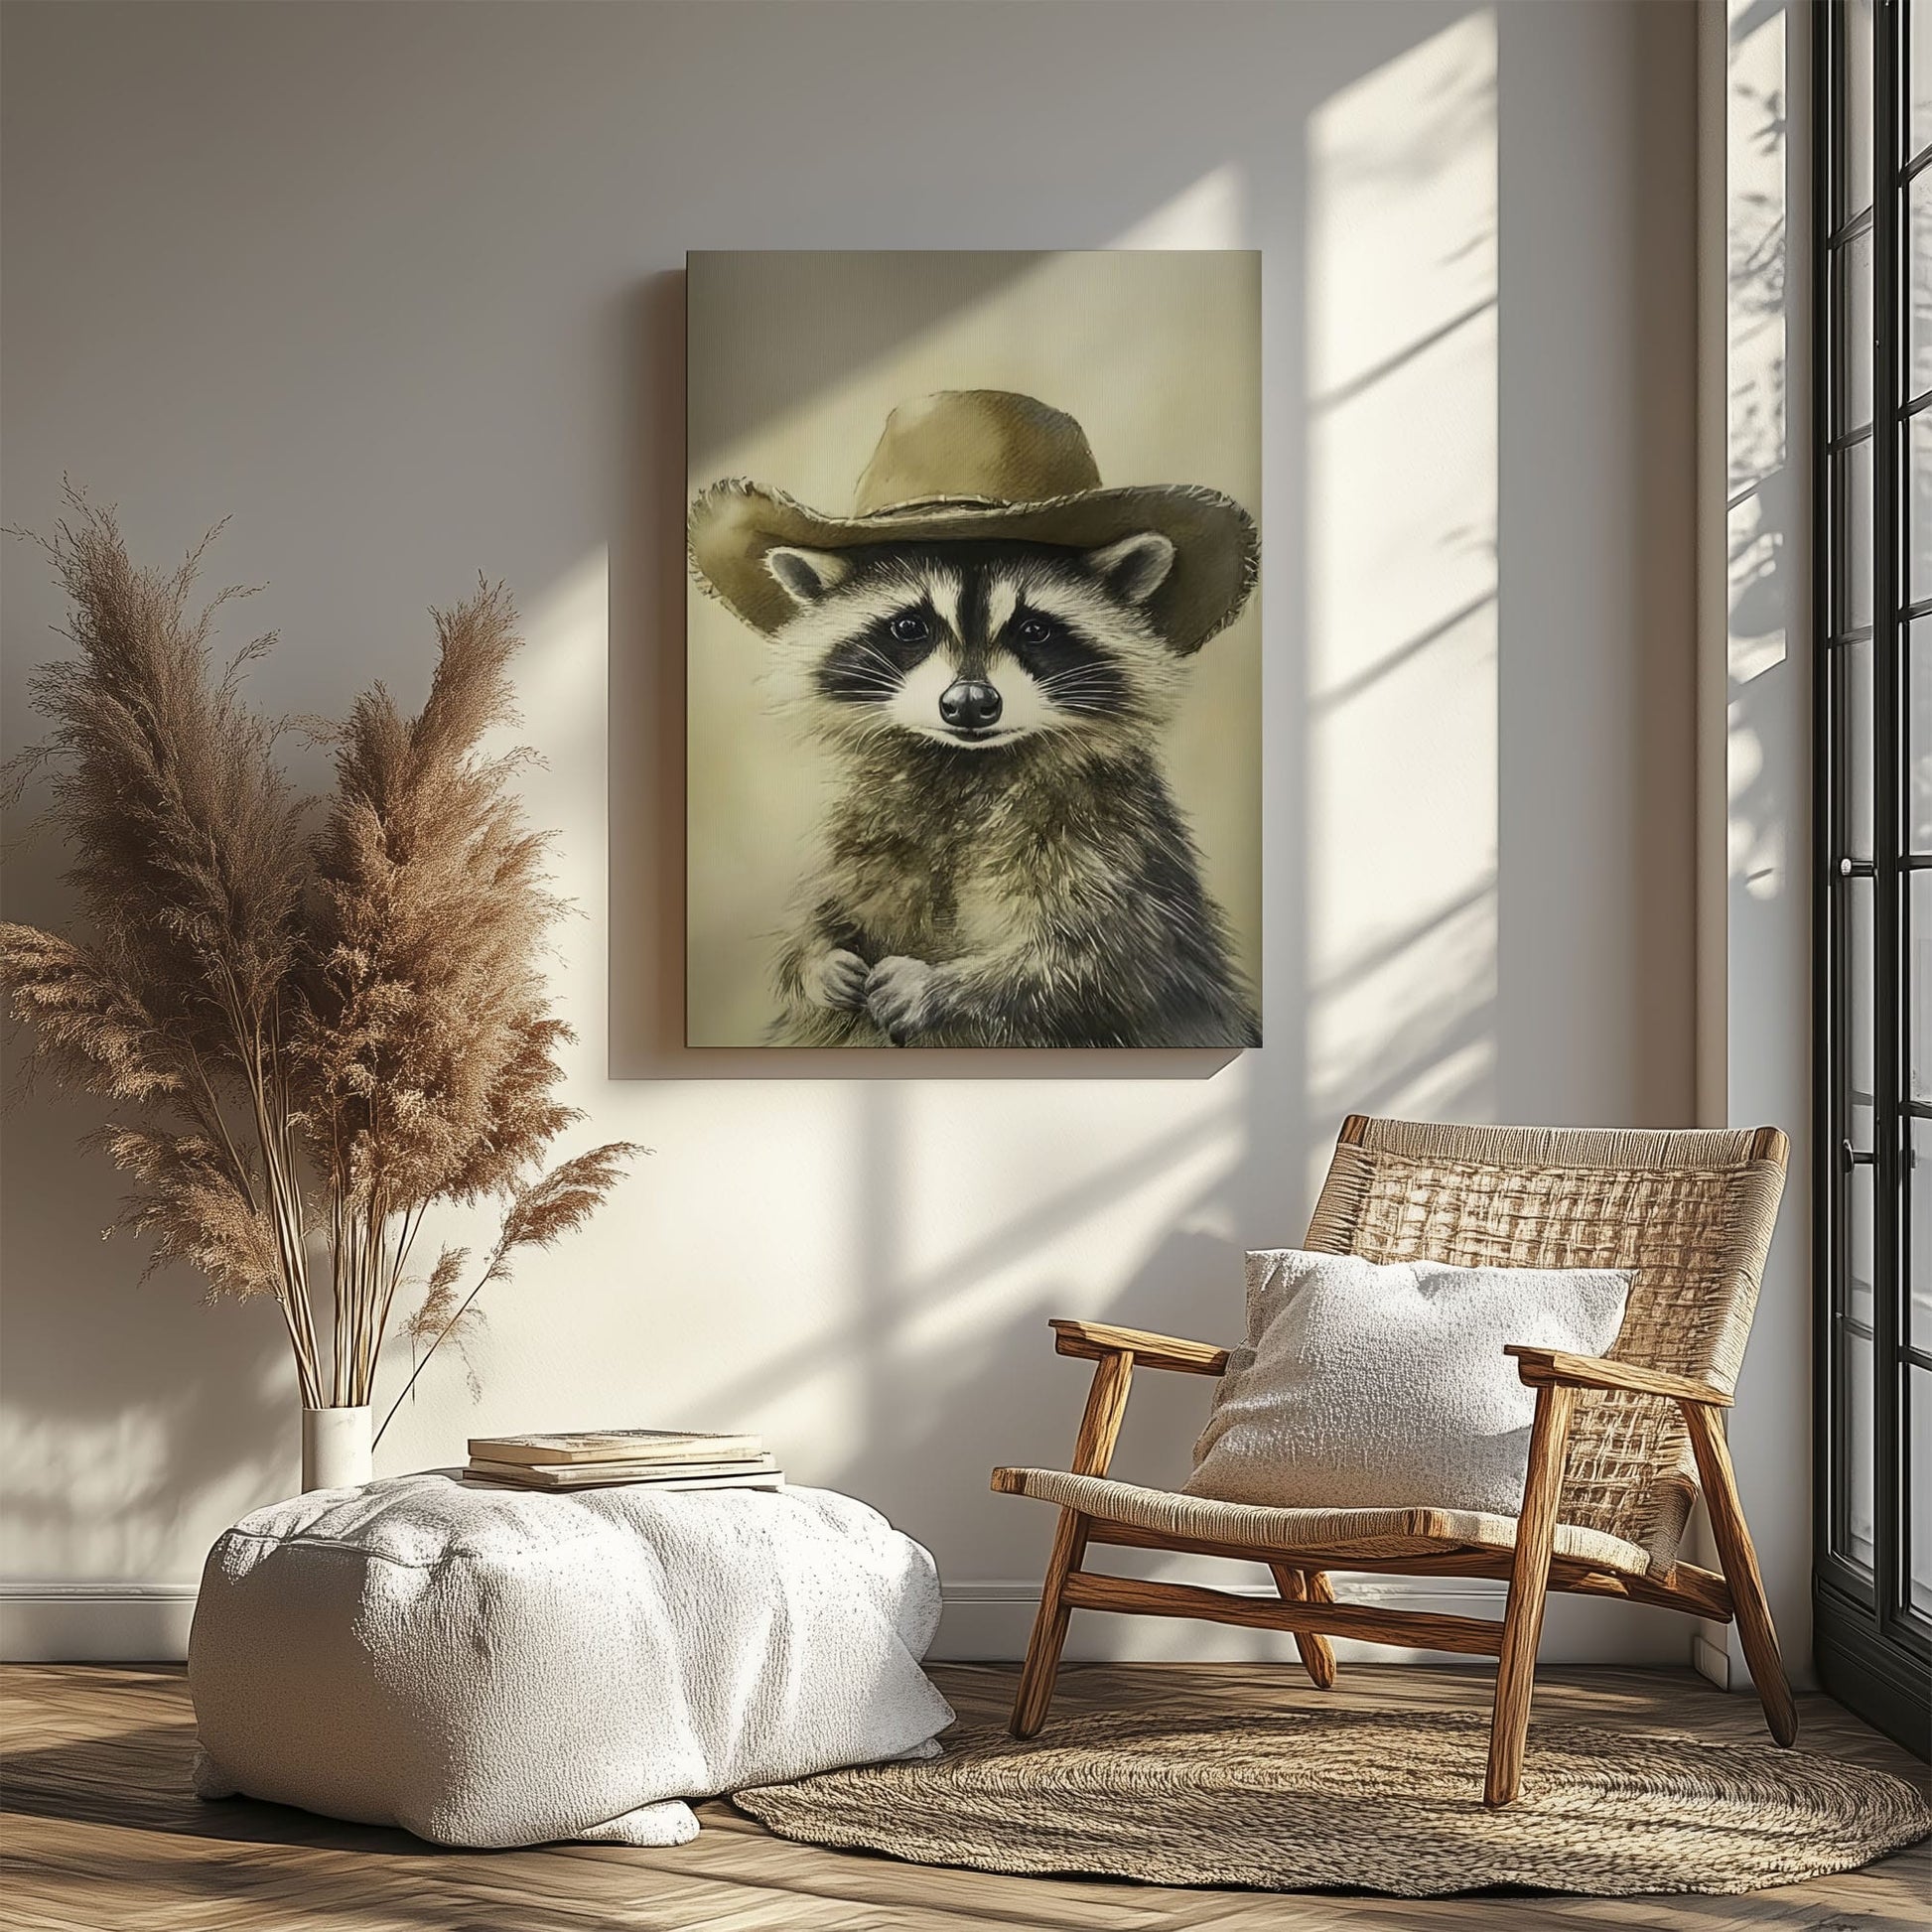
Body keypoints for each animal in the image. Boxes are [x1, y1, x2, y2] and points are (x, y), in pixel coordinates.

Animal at [758, 534, 1259, 1049]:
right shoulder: (869, 826)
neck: (965, 763)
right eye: (909, 628)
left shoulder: (1114, 839)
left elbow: (1109, 962)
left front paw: (939, 986)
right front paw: (816, 957)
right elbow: (827, 908)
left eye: (1034, 630)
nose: (969, 703)